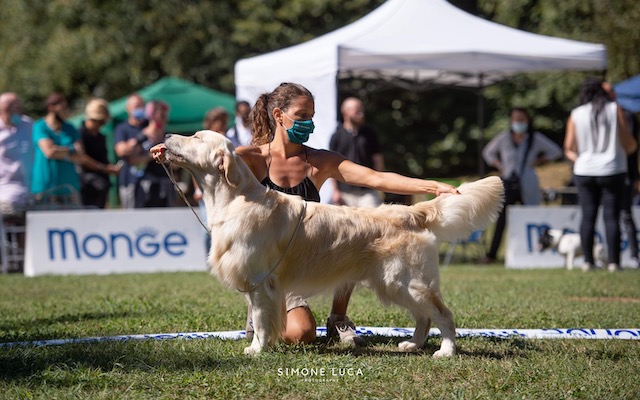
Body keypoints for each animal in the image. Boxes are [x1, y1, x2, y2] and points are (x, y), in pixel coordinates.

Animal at [163, 131, 504, 357]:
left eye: (195, 136)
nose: (166, 135)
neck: (235, 199)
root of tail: (411, 211)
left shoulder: (260, 281)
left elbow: (260, 321)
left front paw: (257, 349)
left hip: (409, 281)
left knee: (443, 315)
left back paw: (446, 351)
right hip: (394, 283)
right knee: (423, 317)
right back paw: (412, 344)